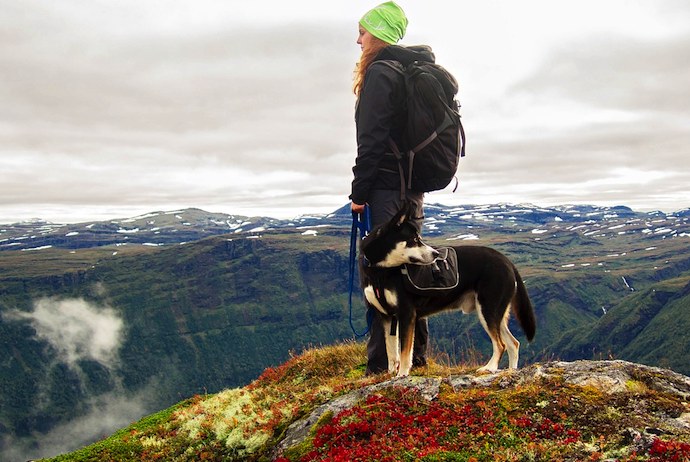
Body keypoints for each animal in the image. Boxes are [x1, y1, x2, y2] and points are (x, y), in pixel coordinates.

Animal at [358, 204, 536, 378]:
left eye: (418, 238)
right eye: (414, 240)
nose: (436, 254)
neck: (380, 271)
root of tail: (507, 261)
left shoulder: (406, 314)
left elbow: (404, 352)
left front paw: (402, 374)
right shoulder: (387, 317)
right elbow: (391, 351)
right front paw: (390, 374)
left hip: (488, 309)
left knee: (501, 344)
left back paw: (489, 368)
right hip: (496, 313)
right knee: (513, 343)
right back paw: (511, 371)